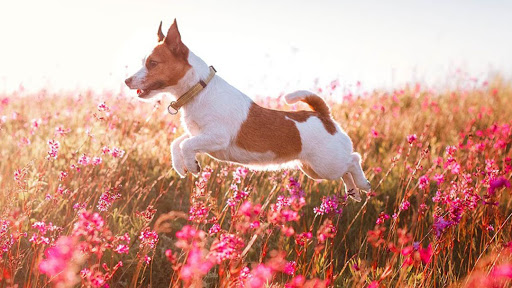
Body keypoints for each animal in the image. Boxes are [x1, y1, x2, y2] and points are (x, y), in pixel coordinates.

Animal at [125, 19, 370, 201]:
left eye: (153, 63)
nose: (127, 80)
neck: (199, 90)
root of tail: (322, 115)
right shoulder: (199, 135)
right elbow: (177, 143)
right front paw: (181, 166)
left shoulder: (217, 137)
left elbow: (185, 145)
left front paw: (191, 165)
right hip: (313, 169)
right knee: (346, 171)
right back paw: (353, 191)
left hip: (327, 164)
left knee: (353, 160)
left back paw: (363, 183)